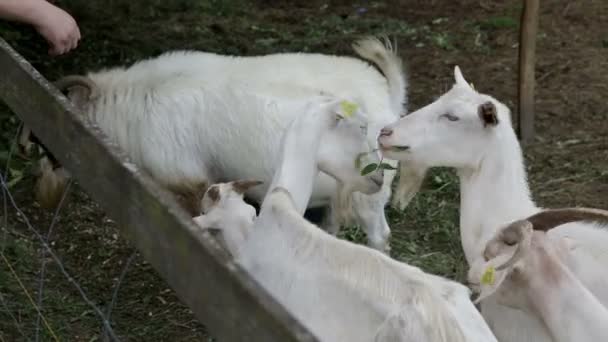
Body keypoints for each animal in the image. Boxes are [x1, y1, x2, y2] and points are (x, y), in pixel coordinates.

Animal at [20, 36, 414, 251]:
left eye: (45, 138)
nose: (41, 194)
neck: (133, 103)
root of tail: (389, 99)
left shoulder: (189, 180)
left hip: (370, 194)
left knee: (380, 236)